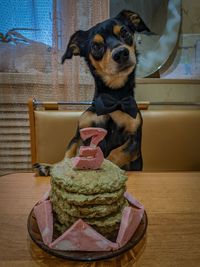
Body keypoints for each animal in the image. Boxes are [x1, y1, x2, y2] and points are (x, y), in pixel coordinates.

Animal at [34, 10, 150, 177]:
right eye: (96, 46)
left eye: (125, 32)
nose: (121, 53)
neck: (113, 97)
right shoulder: (79, 136)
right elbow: (69, 156)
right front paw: (53, 167)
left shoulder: (134, 141)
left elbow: (115, 154)